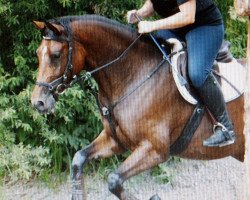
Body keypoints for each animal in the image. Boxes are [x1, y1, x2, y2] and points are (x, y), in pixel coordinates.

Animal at [31, 14, 246, 199]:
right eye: (38, 54)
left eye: (56, 55)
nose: (38, 103)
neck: (132, 75)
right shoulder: (115, 140)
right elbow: (78, 159)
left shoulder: (155, 150)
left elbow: (114, 180)